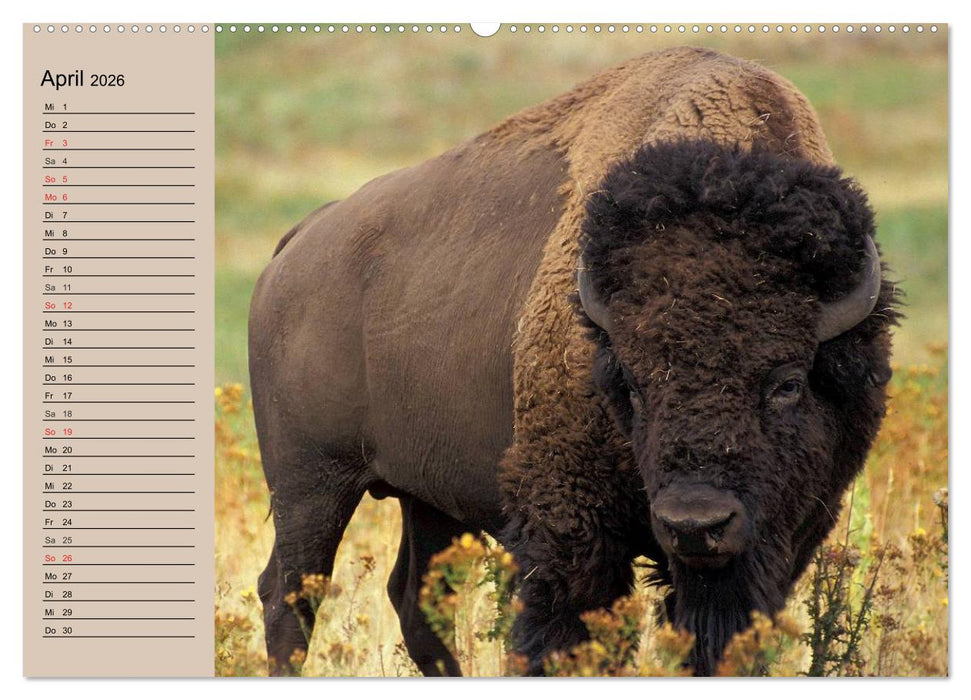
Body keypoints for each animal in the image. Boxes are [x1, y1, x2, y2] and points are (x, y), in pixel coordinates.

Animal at [248, 46, 897, 676]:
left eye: (787, 383)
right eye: (631, 386)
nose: (696, 524)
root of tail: (297, 243)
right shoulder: (569, 529)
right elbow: (564, 634)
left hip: (425, 496)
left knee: (414, 599)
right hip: (310, 483)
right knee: (290, 596)